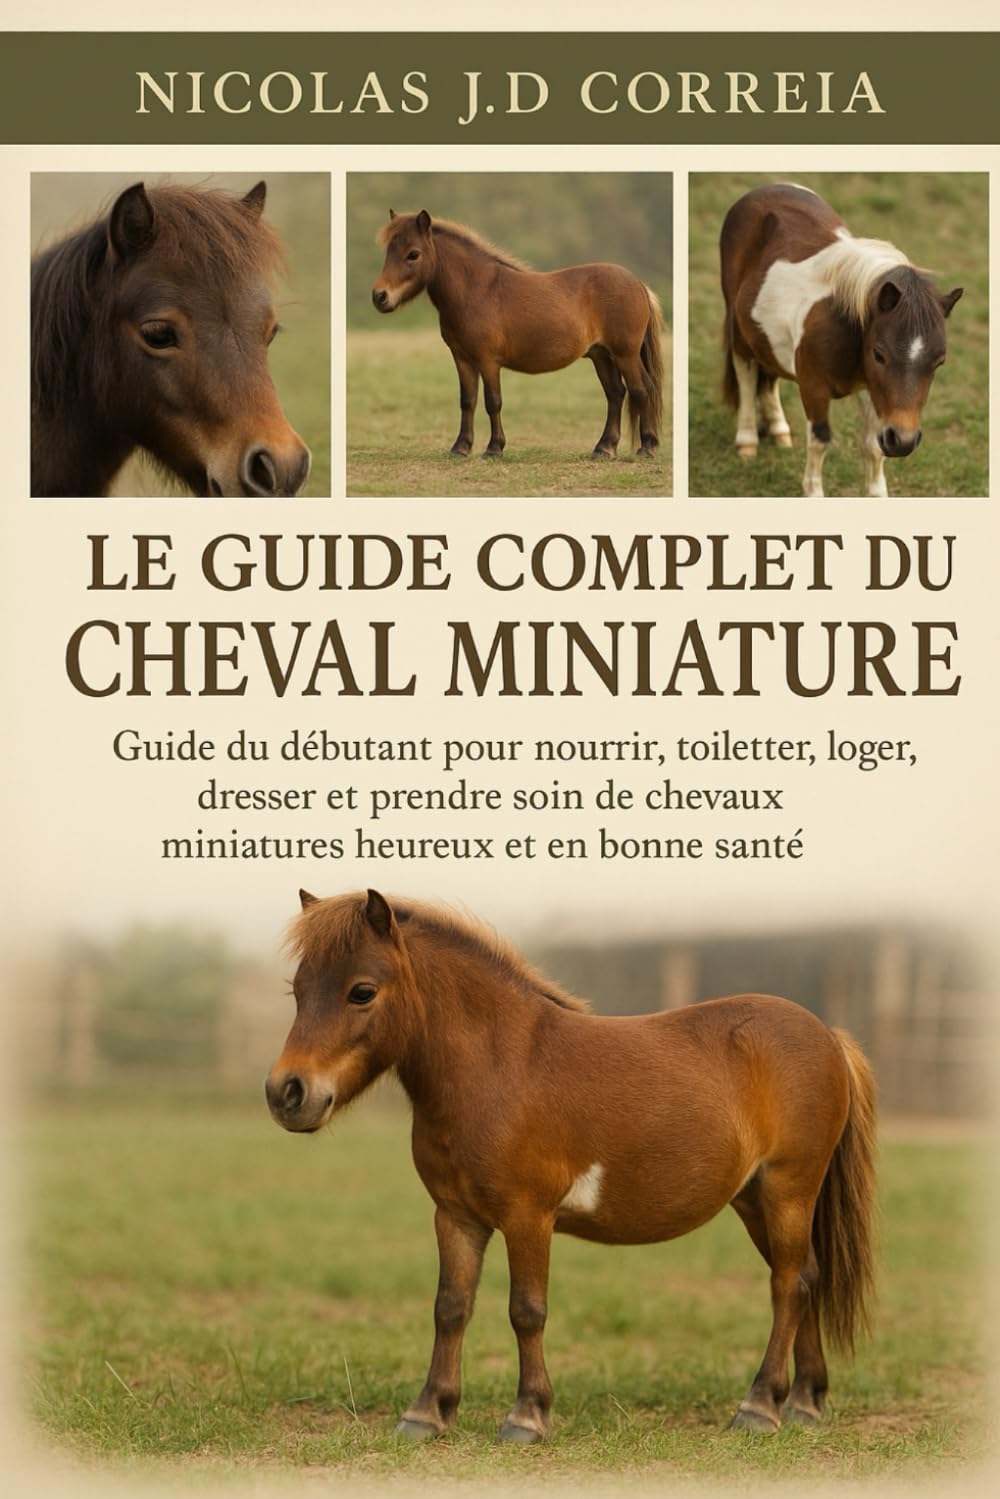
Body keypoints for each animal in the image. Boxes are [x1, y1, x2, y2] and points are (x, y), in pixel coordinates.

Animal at [266, 888, 877, 1445]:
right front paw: (427, 1414)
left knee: (788, 1285)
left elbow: (526, 1310)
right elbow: (451, 1308)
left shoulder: (528, 1217)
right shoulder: (456, 1216)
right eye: (297, 991)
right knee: (809, 1277)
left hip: (788, 1190)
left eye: (361, 991)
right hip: (753, 1200)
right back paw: (804, 1403)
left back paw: (760, 1406)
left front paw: (527, 1417)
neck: (496, 1069)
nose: (287, 1093)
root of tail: (827, 1036)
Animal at [371, 210, 664, 461]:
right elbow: (467, 401)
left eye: (413, 254)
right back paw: (604, 448)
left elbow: (493, 402)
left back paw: (646, 446)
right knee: (616, 393)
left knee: (641, 389)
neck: (476, 290)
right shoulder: (462, 359)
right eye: (389, 252)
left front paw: (494, 449)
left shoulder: (488, 361)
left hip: (625, 354)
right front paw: (461, 447)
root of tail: (639, 284)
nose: (379, 296)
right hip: (601, 355)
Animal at [719, 183, 962, 497]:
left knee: (768, 377)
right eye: (879, 354)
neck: (846, 327)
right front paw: (813, 491)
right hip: (738, 331)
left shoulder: (873, 392)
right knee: (747, 376)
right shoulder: (813, 388)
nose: (904, 441)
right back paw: (747, 441)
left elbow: (872, 445)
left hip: (764, 337)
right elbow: (820, 439)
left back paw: (779, 430)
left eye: (939, 362)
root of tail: (762, 190)